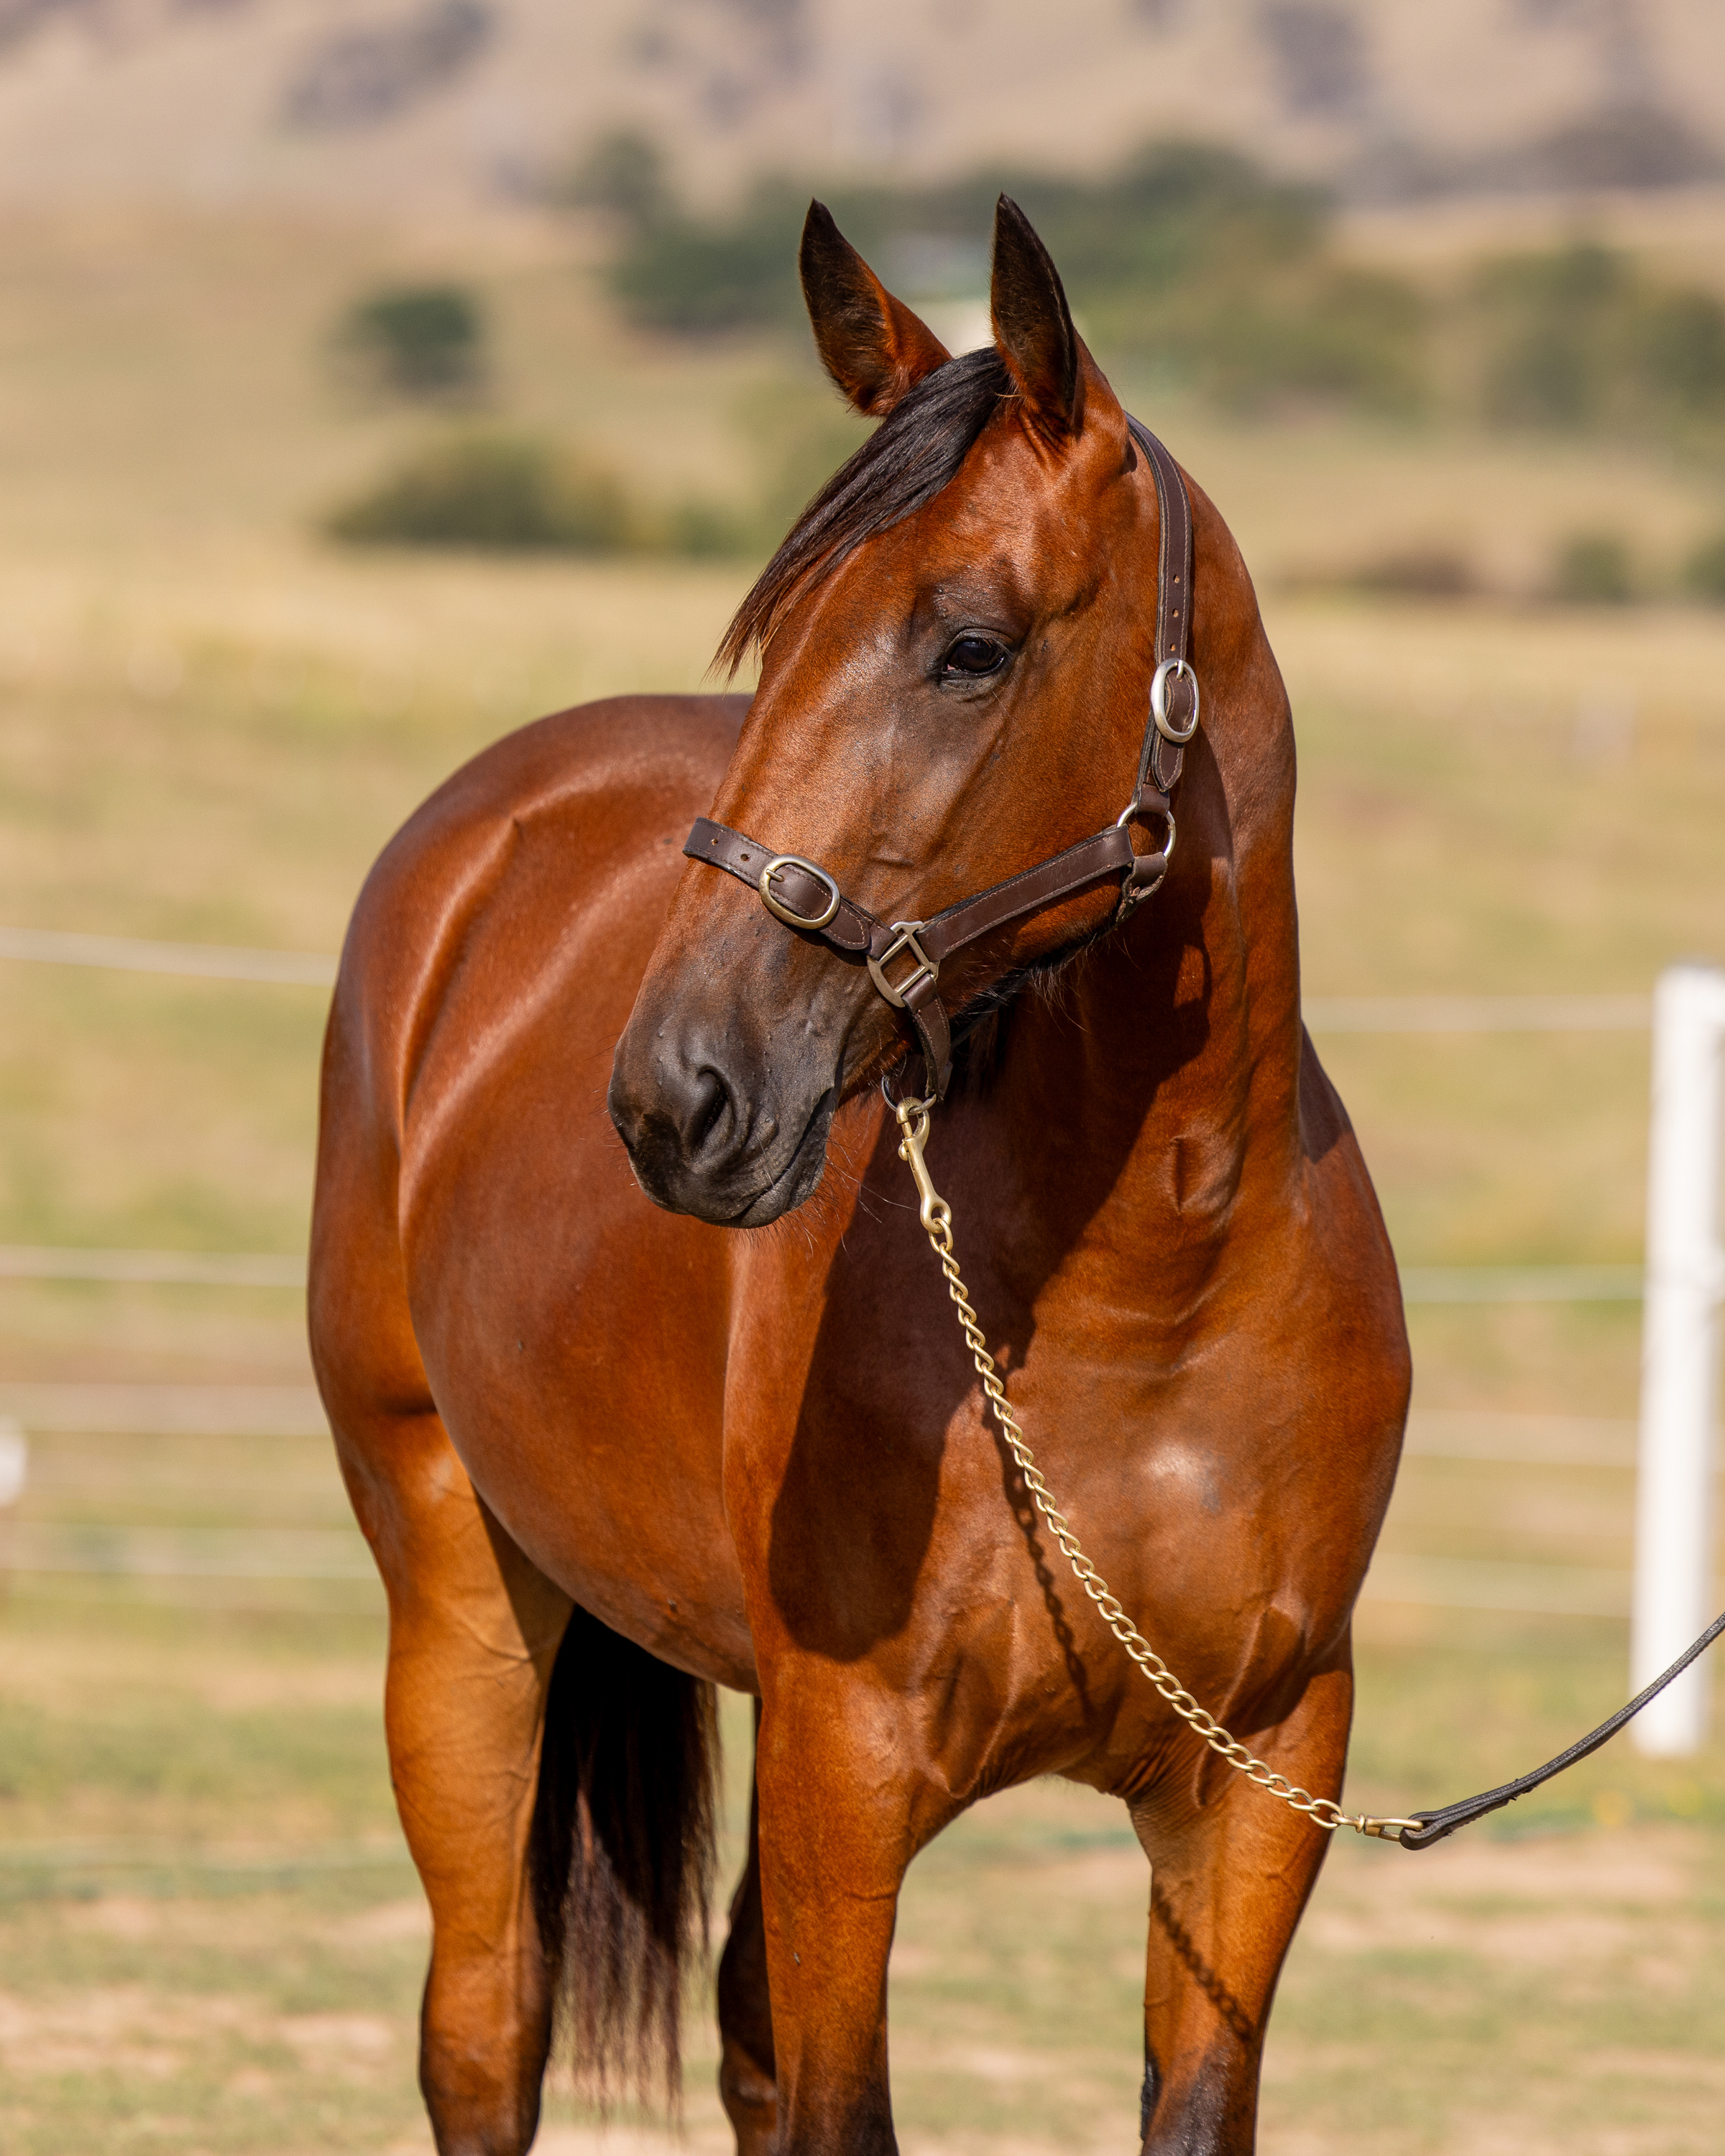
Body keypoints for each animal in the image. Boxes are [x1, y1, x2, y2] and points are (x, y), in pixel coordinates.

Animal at [309, 193, 1410, 2156]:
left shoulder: (1260, 1786)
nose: (675, 1095)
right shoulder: (849, 1769)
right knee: (485, 2022)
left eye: (967, 645)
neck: (1161, 1283)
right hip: (455, 1598)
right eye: (779, 635)